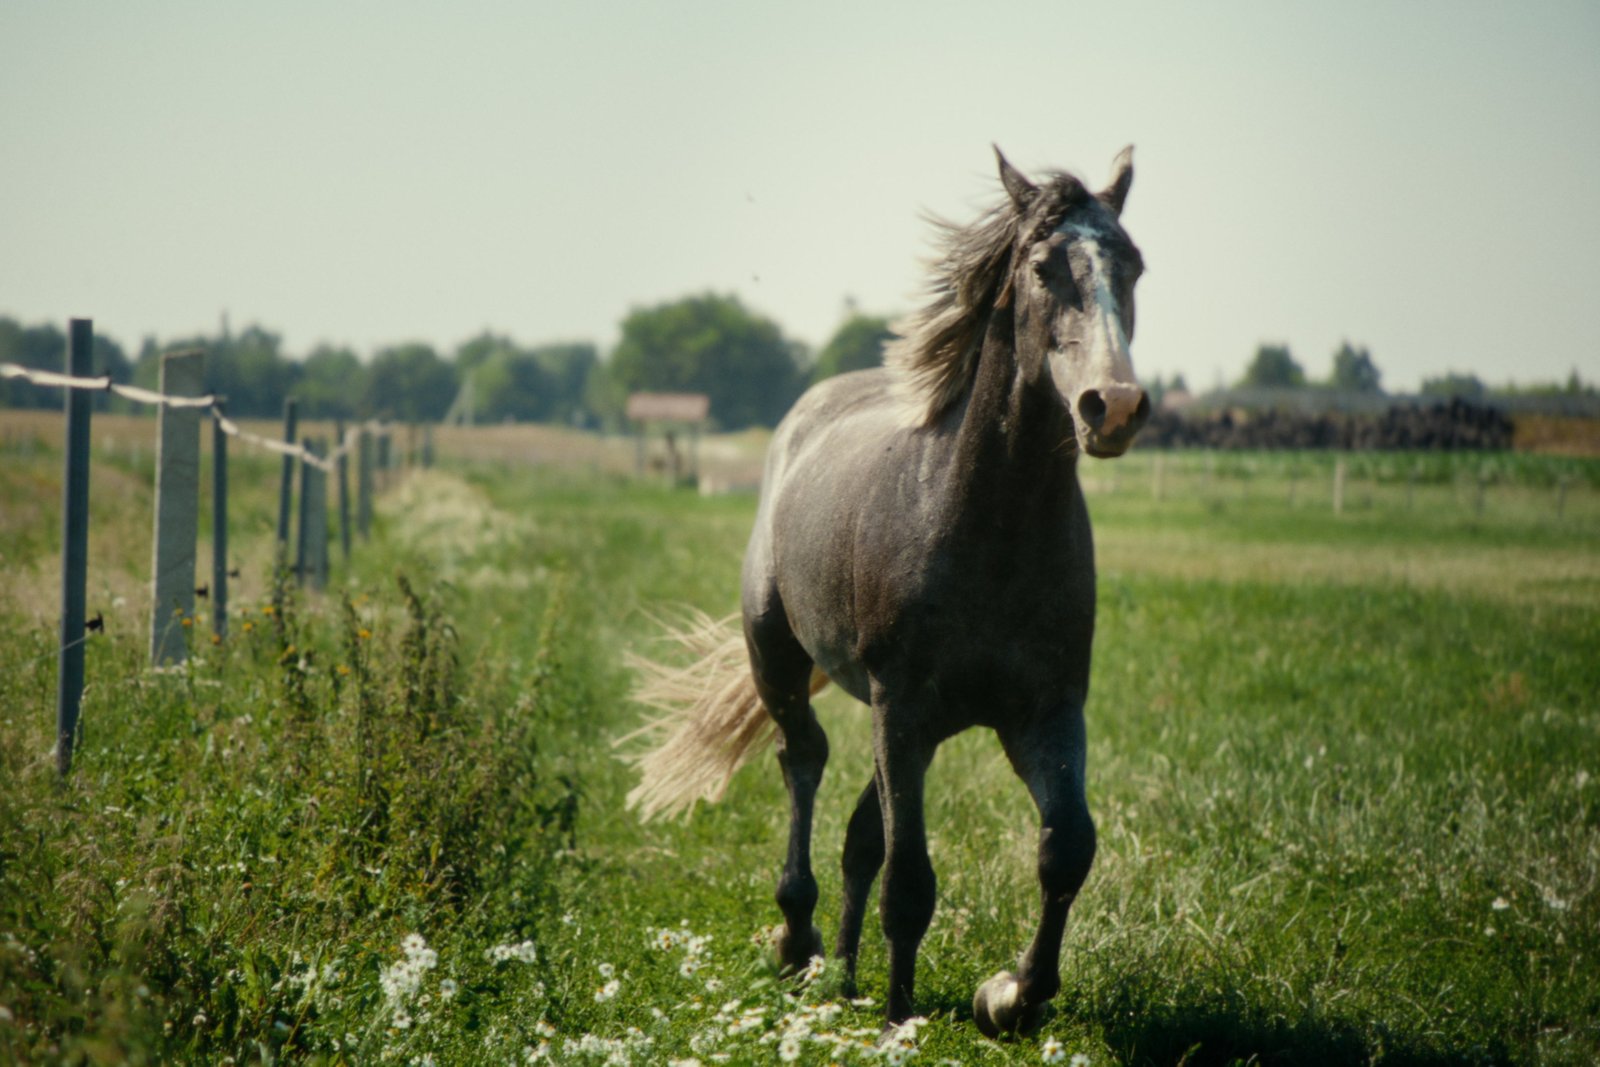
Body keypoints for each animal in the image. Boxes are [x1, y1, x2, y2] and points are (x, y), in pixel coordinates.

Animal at [625, 146, 1149, 1036]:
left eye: (1134, 265)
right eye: (1043, 267)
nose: (1111, 406)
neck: (989, 529)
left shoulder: (1043, 711)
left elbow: (1066, 847)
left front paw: (1008, 994)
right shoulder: (901, 706)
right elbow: (911, 876)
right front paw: (902, 1012)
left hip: (910, 725)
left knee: (859, 833)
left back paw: (841, 966)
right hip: (785, 664)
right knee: (803, 761)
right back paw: (799, 942)